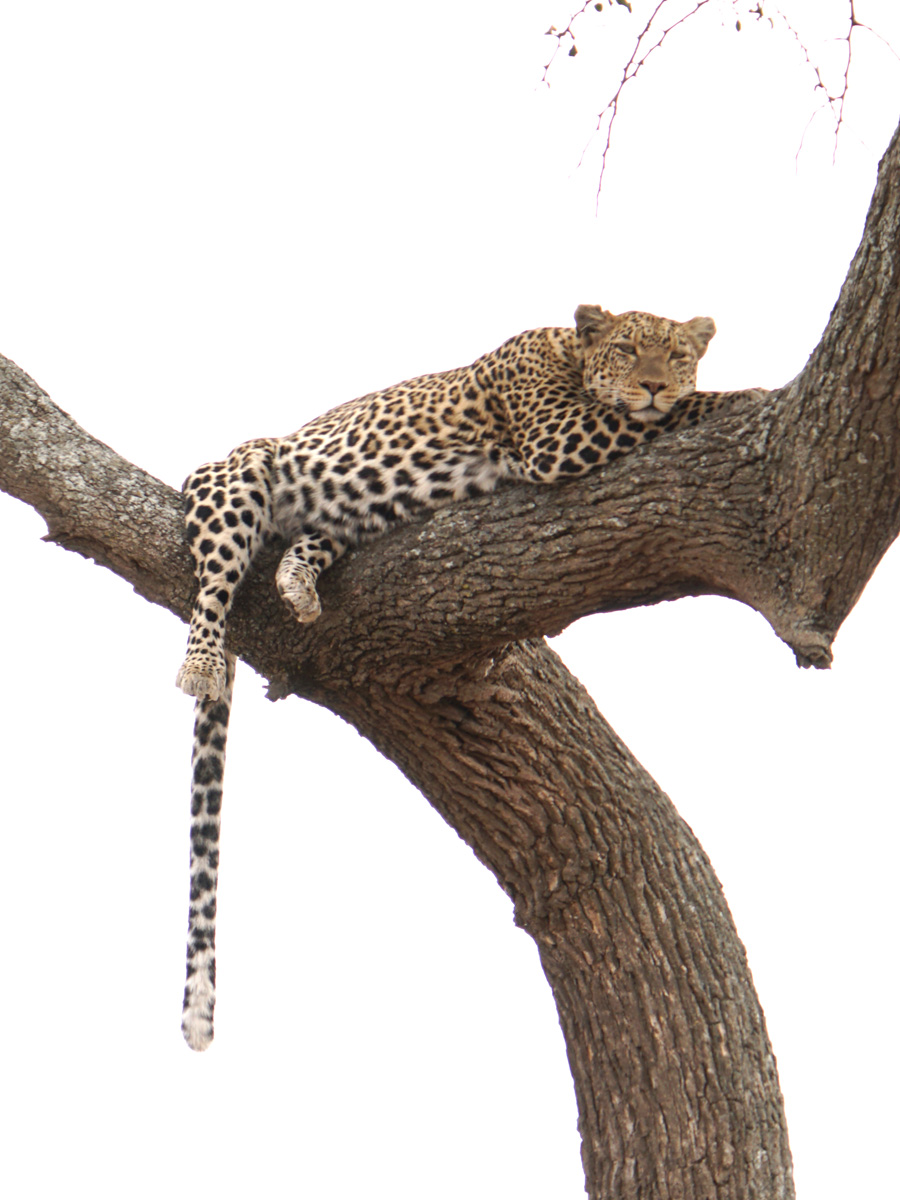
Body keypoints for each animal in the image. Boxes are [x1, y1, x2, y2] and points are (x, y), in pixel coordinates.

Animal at [175, 304, 761, 1051]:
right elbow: (662, 412)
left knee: (300, 547)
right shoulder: (554, 435)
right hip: (238, 478)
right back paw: (200, 660)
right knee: (214, 581)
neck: (570, 352)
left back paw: (298, 583)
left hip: (348, 516)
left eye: (678, 354)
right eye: (630, 351)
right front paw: (751, 395)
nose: (656, 383)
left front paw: (716, 393)